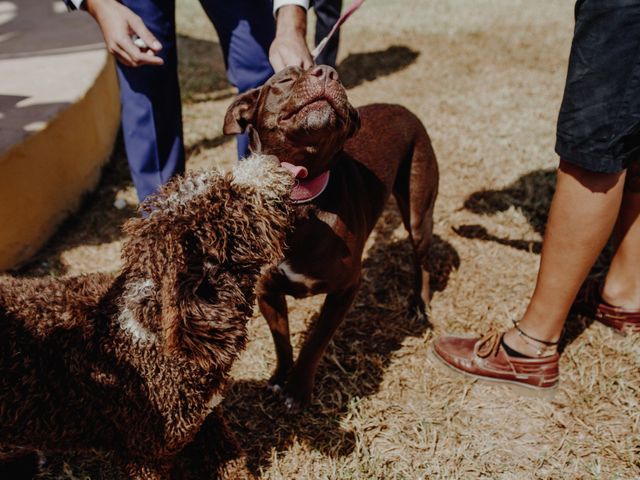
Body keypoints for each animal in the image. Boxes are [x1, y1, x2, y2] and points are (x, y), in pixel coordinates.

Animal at [222, 63, 438, 408]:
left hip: (419, 214)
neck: (298, 197)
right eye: (285, 79)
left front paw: (298, 391)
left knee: (423, 260)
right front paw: (280, 378)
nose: (327, 72)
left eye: (342, 83)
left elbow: (315, 343)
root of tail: (401, 108)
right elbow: (282, 341)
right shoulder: (266, 291)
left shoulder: (345, 289)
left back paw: (419, 303)